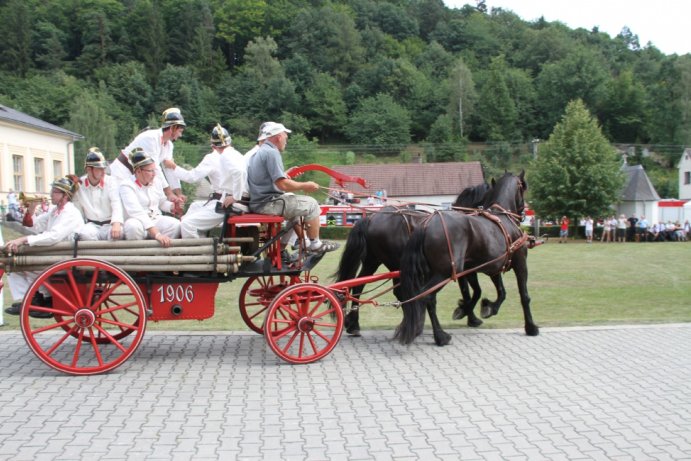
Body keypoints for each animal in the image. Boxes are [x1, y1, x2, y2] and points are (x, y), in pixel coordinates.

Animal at [332, 181, 490, 336]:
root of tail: (371, 218)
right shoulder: (462, 269)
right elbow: (471, 292)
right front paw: (470, 315)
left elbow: (469, 292)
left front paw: (469, 315)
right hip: (395, 264)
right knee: (400, 292)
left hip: (373, 261)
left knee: (358, 285)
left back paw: (354, 324)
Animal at [398, 170, 536, 344]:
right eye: (523, 187)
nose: (524, 213)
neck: (504, 218)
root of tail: (427, 224)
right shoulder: (520, 264)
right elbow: (524, 296)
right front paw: (531, 327)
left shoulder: (491, 268)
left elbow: (498, 292)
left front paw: (484, 308)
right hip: (445, 272)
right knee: (427, 297)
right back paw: (440, 336)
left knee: (424, 298)